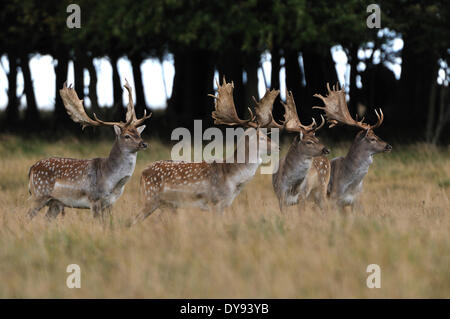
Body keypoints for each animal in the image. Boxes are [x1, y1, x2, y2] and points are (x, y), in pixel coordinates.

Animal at [27, 80, 151, 220]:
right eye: (127, 136)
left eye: (138, 134)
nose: (144, 144)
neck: (113, 182)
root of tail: (32, 168)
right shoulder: (94, 199)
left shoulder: (110, 203)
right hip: (38, 194)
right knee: (27, 217)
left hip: (55, 203)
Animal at [128, 78, 280, 225]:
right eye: (261, 138)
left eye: (266, 135)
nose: (277, 147)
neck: (233, 180)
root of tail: (142, 173)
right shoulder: (214, 201)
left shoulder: (224, 204)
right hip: (150, 198)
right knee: (132, 221)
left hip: (166, 205)